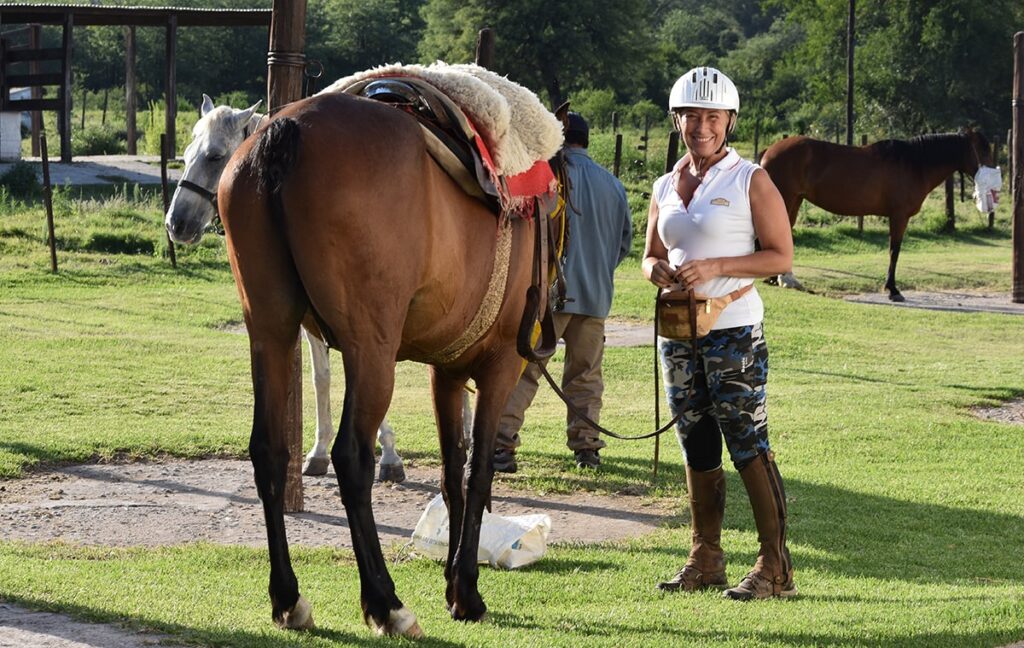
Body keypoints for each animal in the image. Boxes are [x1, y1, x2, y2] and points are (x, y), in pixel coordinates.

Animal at [165, 94, 473, 481]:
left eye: (215, 156)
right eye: (186, 154)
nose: (175, 223)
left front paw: (389, 455)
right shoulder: (321, 327)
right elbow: (322, 378)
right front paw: (320, 451)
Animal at [204, 92, 565, 638]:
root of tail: (288, 129)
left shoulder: (446, 370)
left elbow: (451, 470)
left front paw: (454, 581)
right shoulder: (499, 363)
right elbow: (477, 471)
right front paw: (466, 590)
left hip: (269, 332)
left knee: (268, 450)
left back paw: (288, 598)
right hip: (370, 349)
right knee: (352, 455)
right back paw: (385, 603)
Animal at [761, 129, 991, 300]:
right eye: (983, 151)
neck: (914, 164)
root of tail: (769, 151)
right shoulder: (899, 216)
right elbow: (894, 251)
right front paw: (893, 289)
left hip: (794, 201)